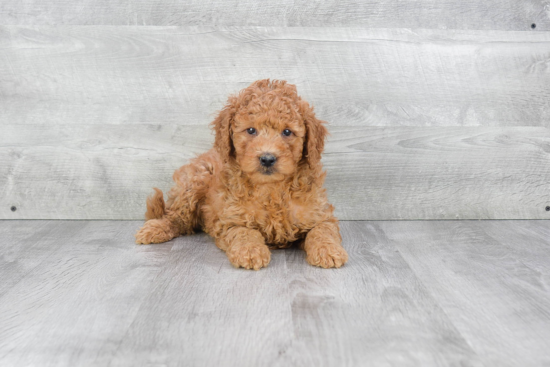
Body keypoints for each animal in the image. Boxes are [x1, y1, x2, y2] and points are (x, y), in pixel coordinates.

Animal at [135, 80, 350, 270]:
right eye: (251, 130)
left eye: (287, 132)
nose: (267, 158)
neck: (271, 188)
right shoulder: (231, 219)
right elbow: (244, 233)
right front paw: (250, 252)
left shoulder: (320, 215)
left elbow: (322, 231)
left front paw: (328, 251)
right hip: (193, 182)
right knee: (176, 217)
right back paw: (155, 229)